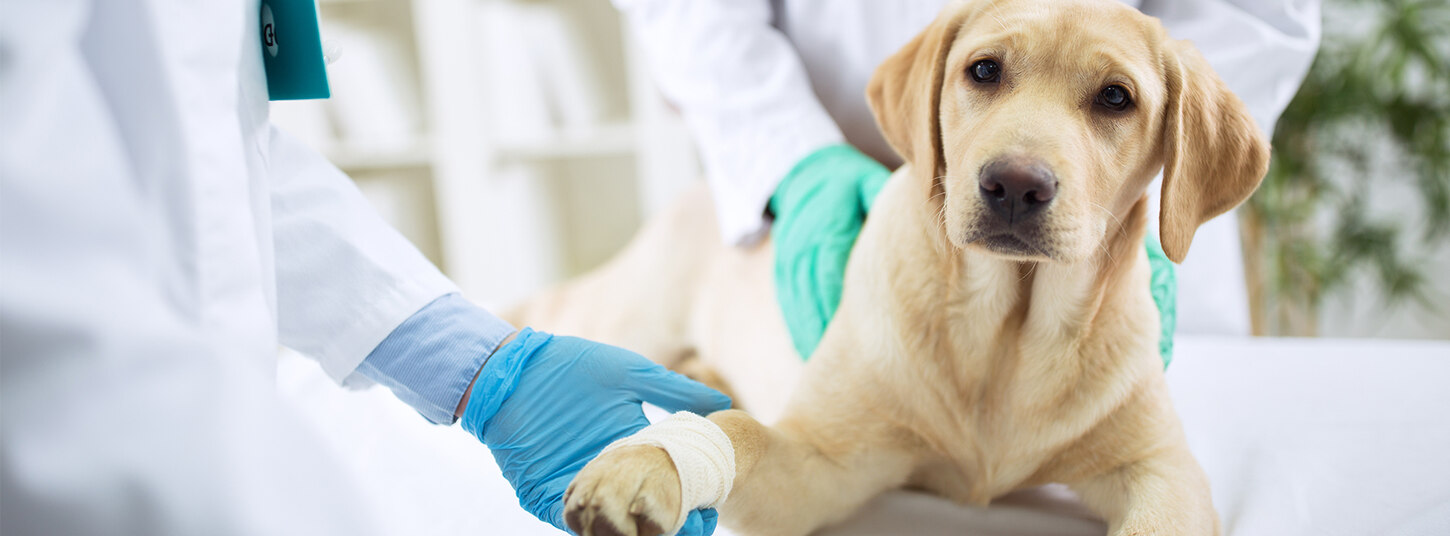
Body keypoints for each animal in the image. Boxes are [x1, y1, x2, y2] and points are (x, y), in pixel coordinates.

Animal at [516, 0, 1264, 533]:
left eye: (1116, 97)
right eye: (984, 70)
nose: (1014, 185)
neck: (1007, 334)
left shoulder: (1163, 471)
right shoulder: (819, 463)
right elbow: (739, 433)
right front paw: (649, 464)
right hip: (626, 315)